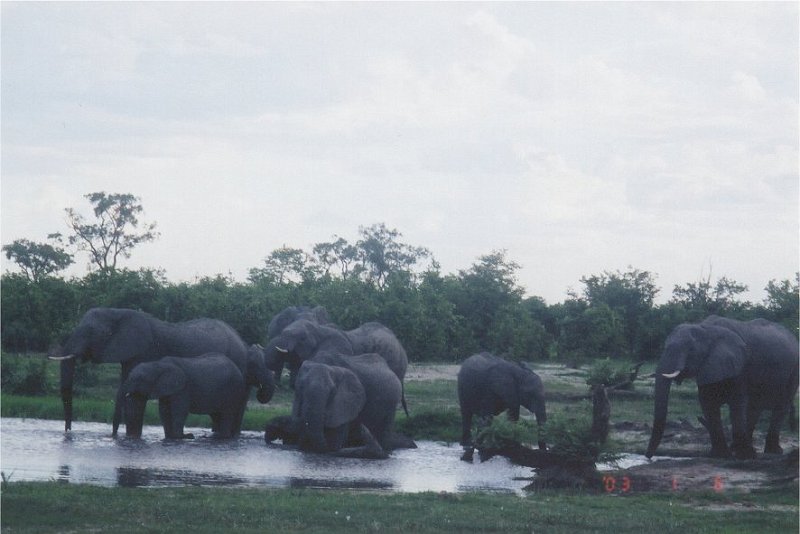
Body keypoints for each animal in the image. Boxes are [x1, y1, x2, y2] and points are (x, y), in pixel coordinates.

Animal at [49, 307, 249, 436]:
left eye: (91, 331)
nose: (68, 431)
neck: (119, 312)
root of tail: (240, 338)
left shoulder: (145, 351)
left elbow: (136, 398)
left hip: (238, 368)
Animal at [123, 352, 273, 439]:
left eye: (141, 380)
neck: (157, 365)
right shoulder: (167, 389)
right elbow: (164, 411)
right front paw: (170, 437)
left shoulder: (183, 388)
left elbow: (179, 411)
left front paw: (182, 437)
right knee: (218, 415)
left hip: (232, 389)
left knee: (226, 414)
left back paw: (223, 437)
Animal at [645, 315, 799, 459]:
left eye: (690, 350)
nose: (647, 456)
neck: (706, 329)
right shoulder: (708, 366)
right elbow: (708, 404)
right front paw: (720, 454)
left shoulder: (740, 367)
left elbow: (737, 403)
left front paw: (743, 456)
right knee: (754, 409)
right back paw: (743, 449)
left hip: (794, 371)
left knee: (780, 407)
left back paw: (771, 451)